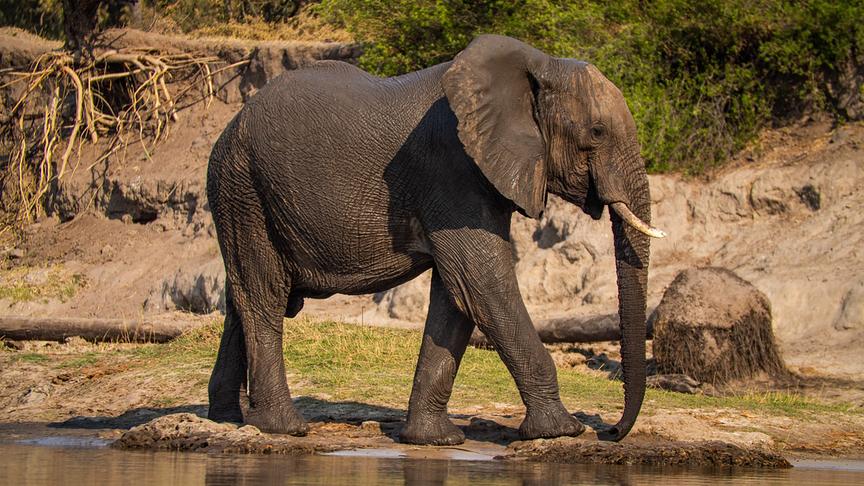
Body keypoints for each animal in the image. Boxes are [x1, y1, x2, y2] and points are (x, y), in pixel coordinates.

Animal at [205, 34, 665, 445]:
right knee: (264, 296)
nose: (611, 431)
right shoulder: (453, 168)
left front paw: (434, 440)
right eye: (597, 132)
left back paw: (227, 419)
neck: (538, 64)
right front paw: (561, 431)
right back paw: (283, 428)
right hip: (244, 187)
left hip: (240, 191)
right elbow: (481, 284)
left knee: (240, 298)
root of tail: (231, 124)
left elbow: (455, 297)